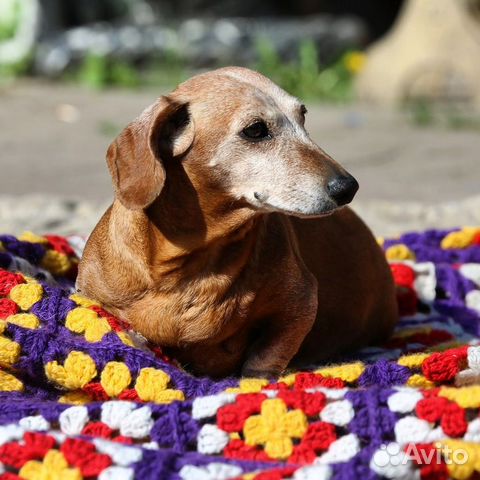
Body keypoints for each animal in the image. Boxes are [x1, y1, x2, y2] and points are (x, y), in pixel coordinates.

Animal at [77, 66, 396, 378]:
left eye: (302, 115)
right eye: (255, 129)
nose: (348, 187)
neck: (190, 264)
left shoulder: (301, 303)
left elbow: (266, 357)